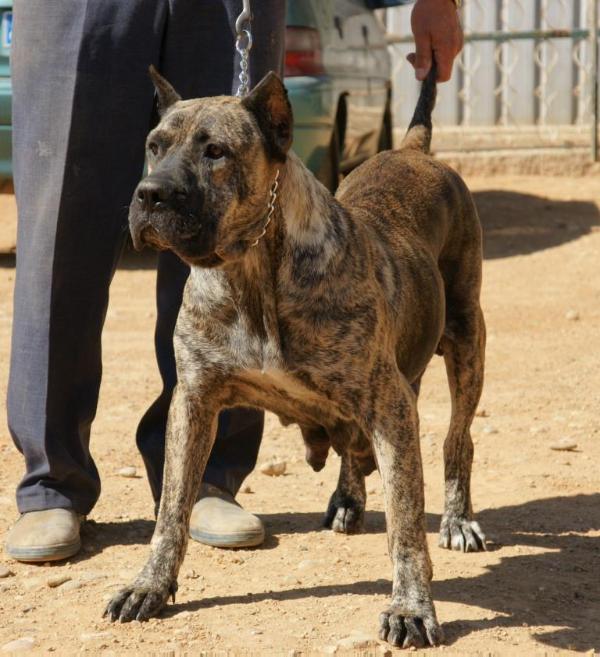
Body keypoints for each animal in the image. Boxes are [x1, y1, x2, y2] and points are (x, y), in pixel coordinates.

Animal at [104, 64, 488, 648]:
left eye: (215, 151)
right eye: (154, 145)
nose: (150, 194)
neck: (251, 274)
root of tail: (412, 149)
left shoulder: (390, 405)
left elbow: (404, 524)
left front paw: (411, 607)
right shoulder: (193, 402)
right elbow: (171, 510)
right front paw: (149, 585)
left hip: (467, 343)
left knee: (456, 441)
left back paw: (458, 520)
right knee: (357, 449)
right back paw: (348, 500)